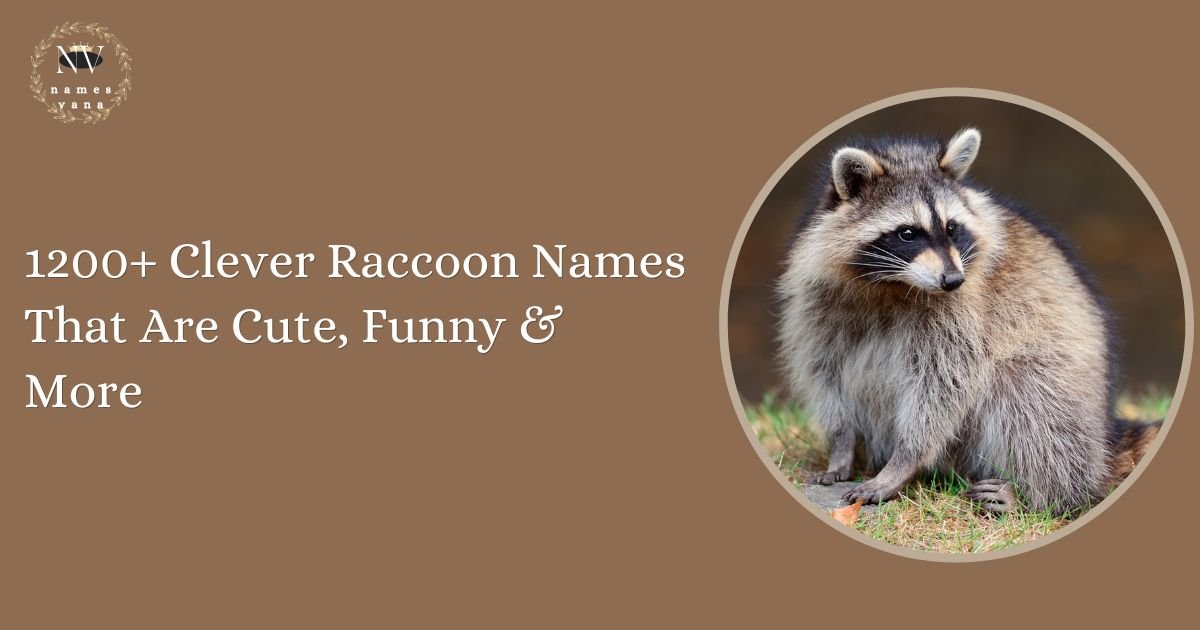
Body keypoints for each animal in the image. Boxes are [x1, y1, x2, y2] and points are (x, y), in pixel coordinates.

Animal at [777, 128, 1159, 514]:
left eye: (951, 228)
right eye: (907, 233)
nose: (953, 280)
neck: (892, 284)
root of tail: (1104, 437)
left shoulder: (964, 314)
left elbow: (942, 386)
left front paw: (904, 461)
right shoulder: (818, 303)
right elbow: (827, 373)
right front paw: (840, 447)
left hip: (1067, 388)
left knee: (1027, 397)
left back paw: (1041, 494)